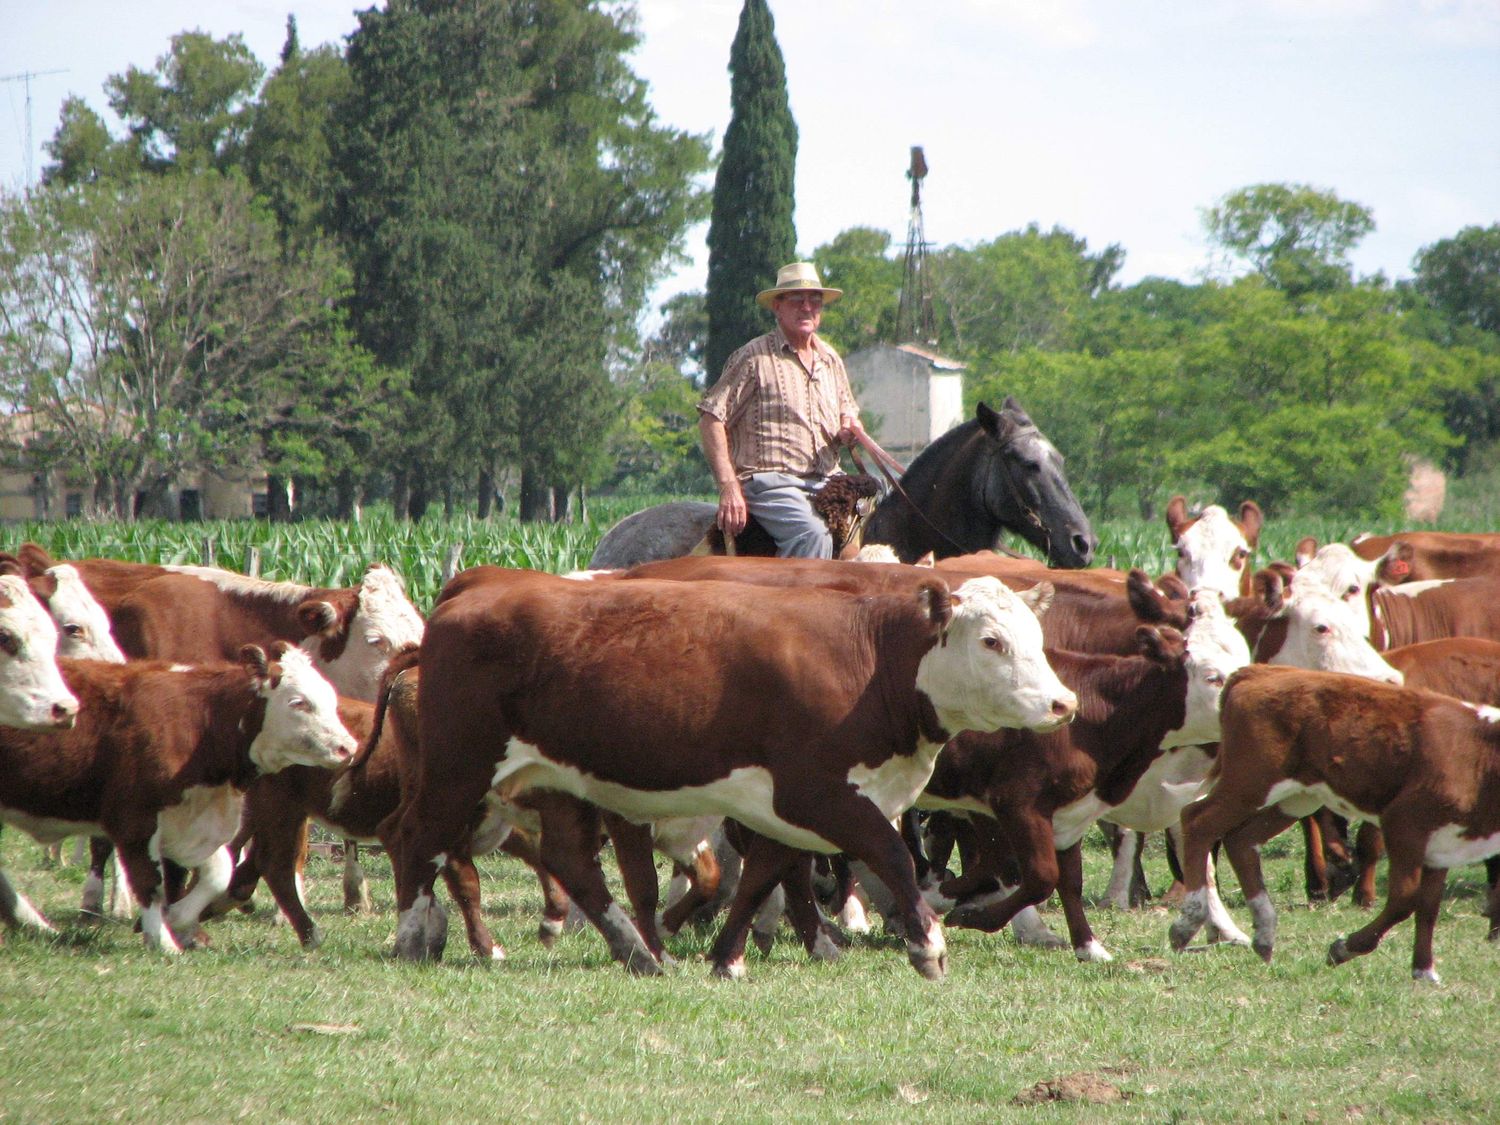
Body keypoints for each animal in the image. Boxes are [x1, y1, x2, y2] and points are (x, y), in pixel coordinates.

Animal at [381, 567, 1074, 984]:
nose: (1062, 703)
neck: (870, 660)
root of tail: (481, 583)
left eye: (1037, 637)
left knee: (571, 862)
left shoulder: (782, 806)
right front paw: (927, 947)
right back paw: (413, 935)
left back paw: (637, 951)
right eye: (991, 641)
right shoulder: (817, 793)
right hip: (458, 768)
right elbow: (890, 855)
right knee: (418, 836)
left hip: (554, 781)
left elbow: (763, 875)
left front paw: (727, 958)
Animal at [1170, 666, 1500, 984]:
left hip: (1297, 796)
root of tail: (1258, 671)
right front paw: (1344, 948)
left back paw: (1264, 931)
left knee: (1241, 840)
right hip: (1250, 782)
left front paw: (1424, 971)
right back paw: (1188, 922)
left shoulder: (1444, 844)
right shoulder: (1404, 823)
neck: (1479, 753)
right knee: (1196, 820)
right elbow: (1404, 899)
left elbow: (1429, 906)